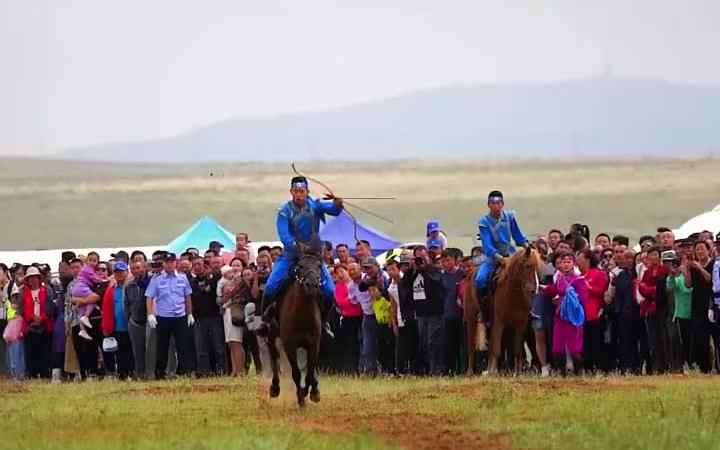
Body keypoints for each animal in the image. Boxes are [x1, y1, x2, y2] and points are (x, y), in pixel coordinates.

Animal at [266, 250, 322, 408]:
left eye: (319, 265)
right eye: (301, 266)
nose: (311, 284)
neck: (303, 316)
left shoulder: (313, 345)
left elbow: (309, 372)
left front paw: (312, 393)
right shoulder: (290, 345)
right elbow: (296, 374)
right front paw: (301, 399)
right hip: (271, 334)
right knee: (274, 356)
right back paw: (275, 388)